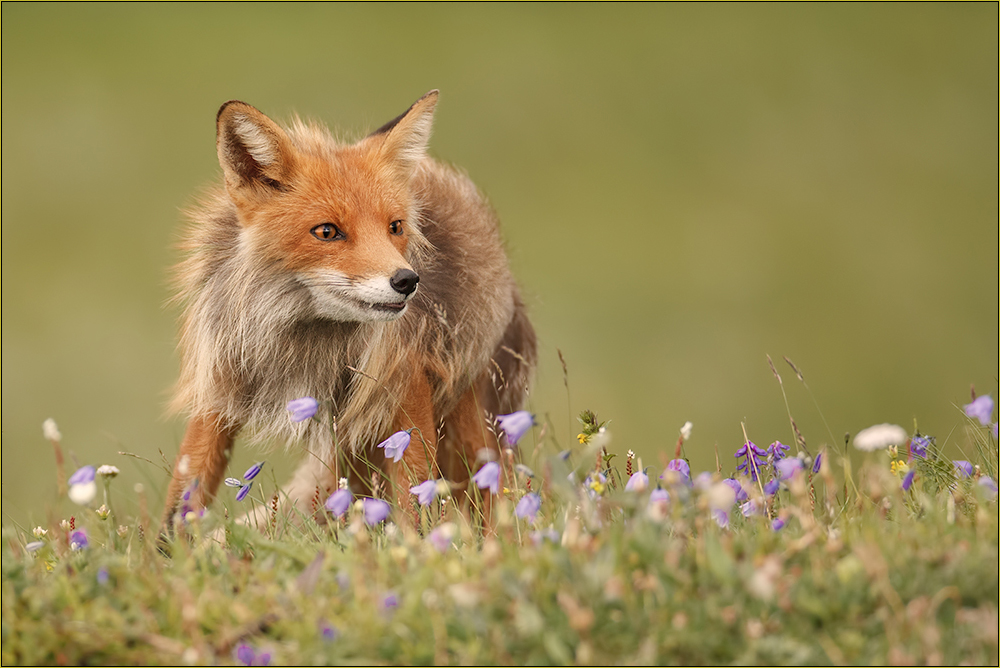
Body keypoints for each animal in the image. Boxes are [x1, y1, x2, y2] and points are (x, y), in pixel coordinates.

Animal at [162, 92, 540, 532]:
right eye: (327, 231)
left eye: (395, 227)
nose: (408, 281)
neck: (303, 335)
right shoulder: (220, 380)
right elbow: (183, 496)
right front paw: (168, 551)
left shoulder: (402, 385)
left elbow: (416, 498)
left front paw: (417, 547)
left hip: (464, 422)